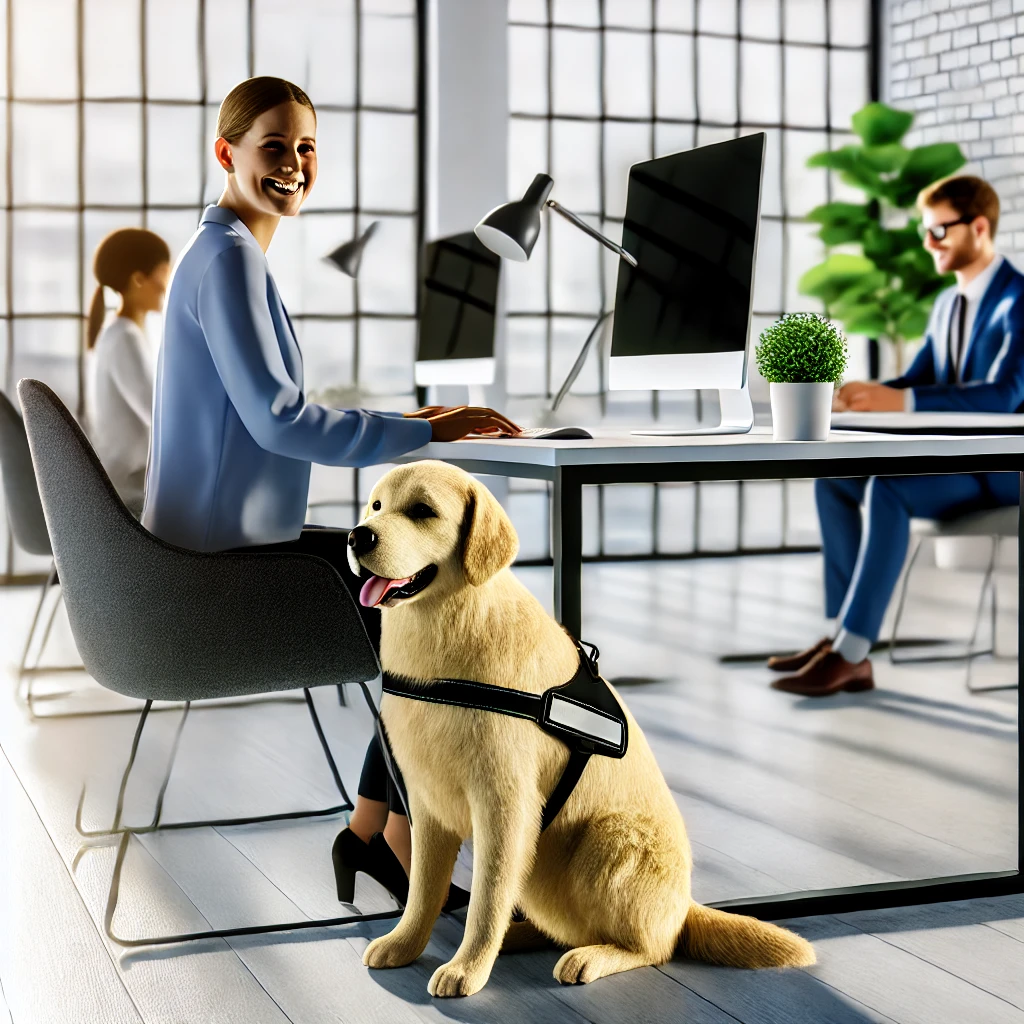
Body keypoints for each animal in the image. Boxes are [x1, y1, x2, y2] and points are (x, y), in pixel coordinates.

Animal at [352, 460, 815, 995]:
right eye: (376, 506)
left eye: (423, 511)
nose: (358, 535)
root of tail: (684, 908)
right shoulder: (426, 802)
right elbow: (423, 891)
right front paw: (405, 944)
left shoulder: (504, 806)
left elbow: (486, 898)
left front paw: (467, 968)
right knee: (561, 924)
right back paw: (520, 939)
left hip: (607, 839)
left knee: (652, 946)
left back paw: (589, 957)